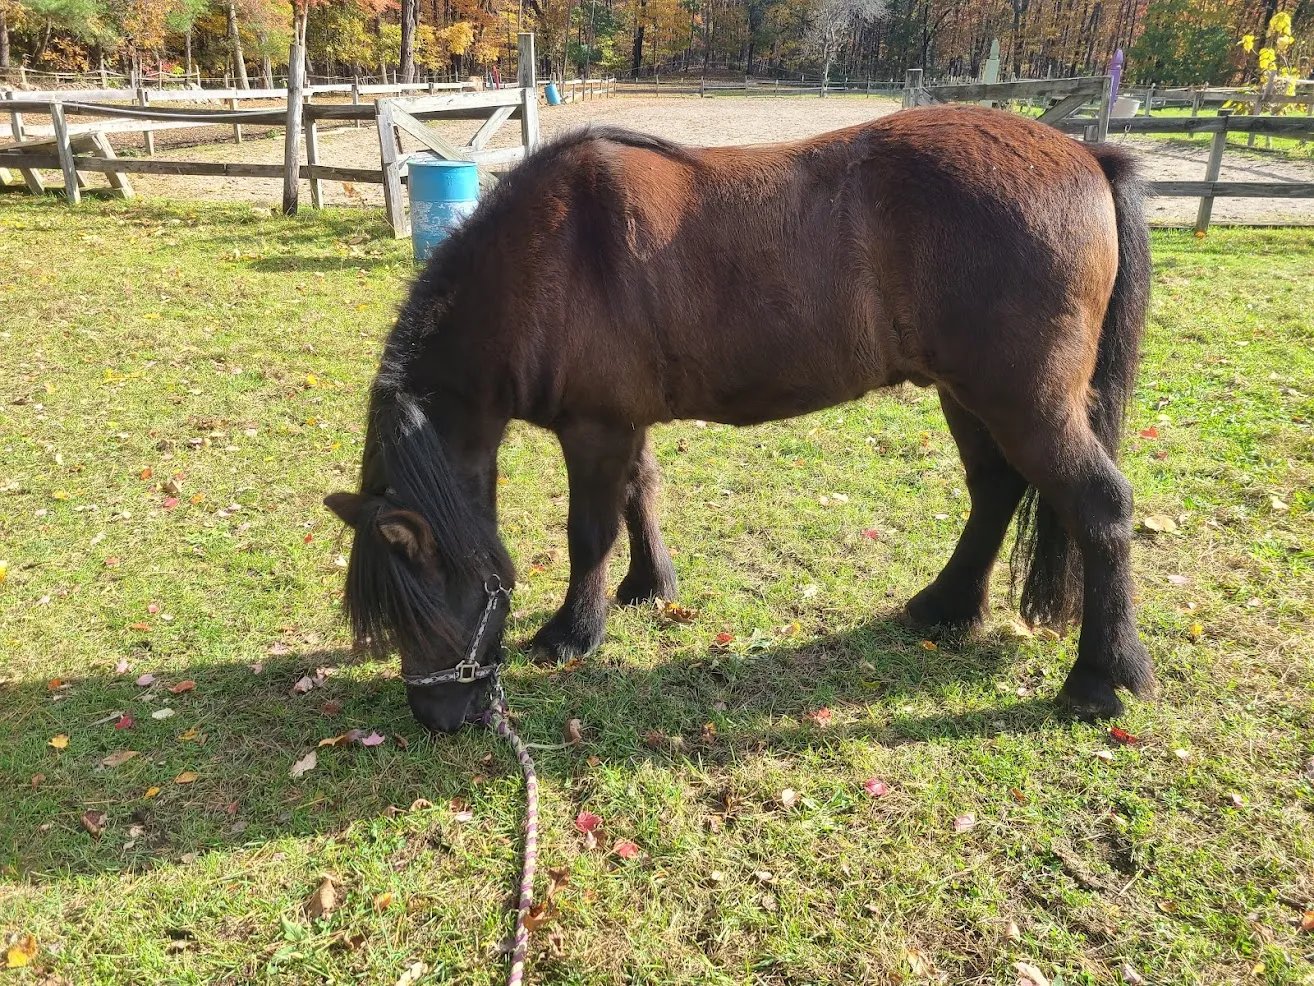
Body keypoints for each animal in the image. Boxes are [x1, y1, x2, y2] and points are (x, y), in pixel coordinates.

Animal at [325, 105, 1155, 733]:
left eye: (423, 609)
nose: (440, 718)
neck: (544, 257)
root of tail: (1087, 154)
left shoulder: (594, 429)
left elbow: (590, 531)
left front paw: (571, 634)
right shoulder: (624, 425)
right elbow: (640, 497)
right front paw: (648, 586)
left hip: (1027, 401)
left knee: (1099, 506)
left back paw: (1100, 679)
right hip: (969, 393)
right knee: (994, 489)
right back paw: (945, 608)